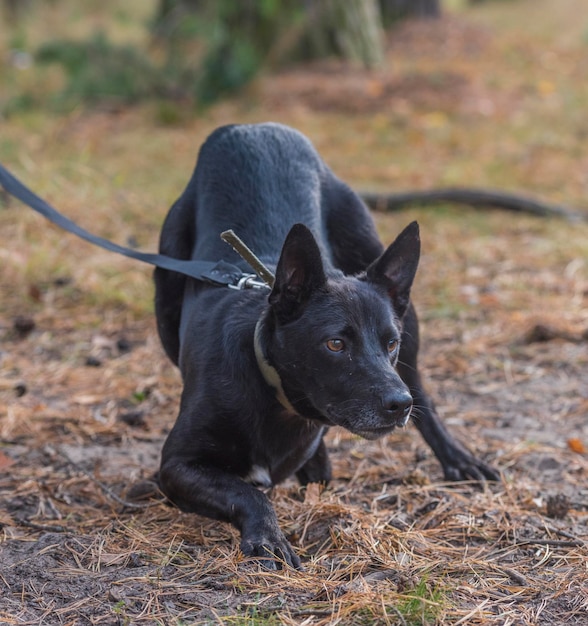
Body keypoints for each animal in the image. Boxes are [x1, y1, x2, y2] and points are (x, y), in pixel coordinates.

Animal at [154, 122, 498, 564]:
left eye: (390, 343)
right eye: (335, 344)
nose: (398, 405)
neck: (275, 394)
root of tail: (250, 128)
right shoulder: (176, 465)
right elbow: (247, 491)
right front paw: (268, 535)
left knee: (426, 398)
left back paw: (458, 459)